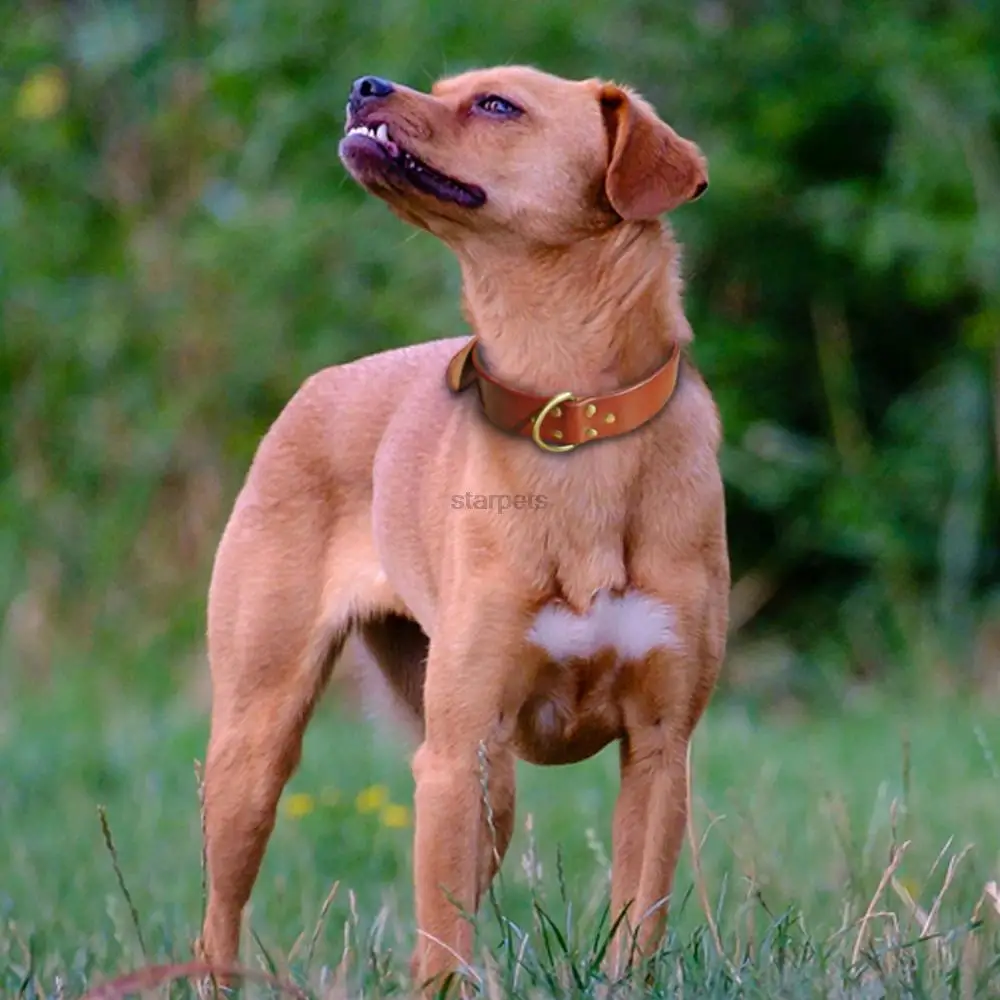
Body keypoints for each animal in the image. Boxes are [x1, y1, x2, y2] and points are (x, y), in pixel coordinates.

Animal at [193, 64, 728, 992]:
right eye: (447, 87)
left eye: (497, 105)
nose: (364, 83)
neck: (570, 417)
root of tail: (319, 384)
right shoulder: (456, 753)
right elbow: (446, 944)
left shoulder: (662, 751)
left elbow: (636, 923)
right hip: (260, 745)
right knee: (219, 921)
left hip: (492, 782)